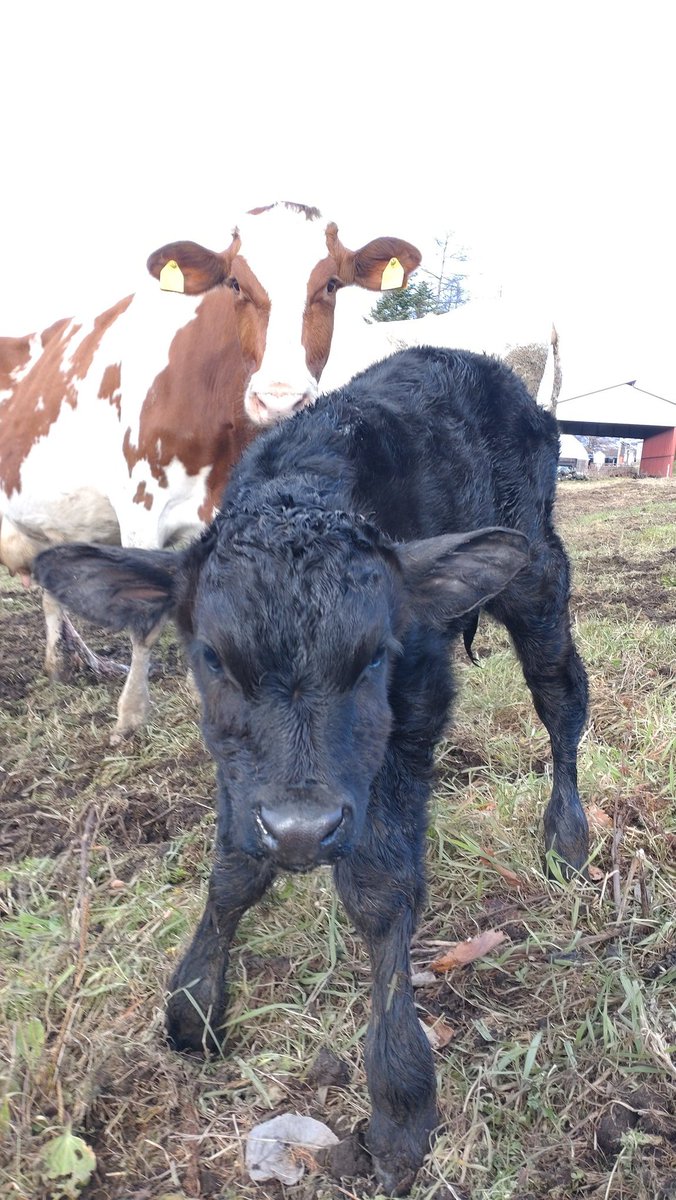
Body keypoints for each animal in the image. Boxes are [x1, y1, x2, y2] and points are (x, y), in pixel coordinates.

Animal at [0, 201, 420, 734]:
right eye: (235, 284)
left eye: (329, 284)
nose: (279, 399)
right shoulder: (140, 507)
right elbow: (146, 623)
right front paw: (131, 715)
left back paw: (68, 662)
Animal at [35, 345, 588, 1190]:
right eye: (212, 658)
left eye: (374, 658)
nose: (301, 830)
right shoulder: (239, 768)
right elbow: (235, 870)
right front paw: (193, 1007)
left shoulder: (413, 710)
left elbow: (381, 891)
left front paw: (400, 1104)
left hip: (537, 578)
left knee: (562, 699)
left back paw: (567, 838)